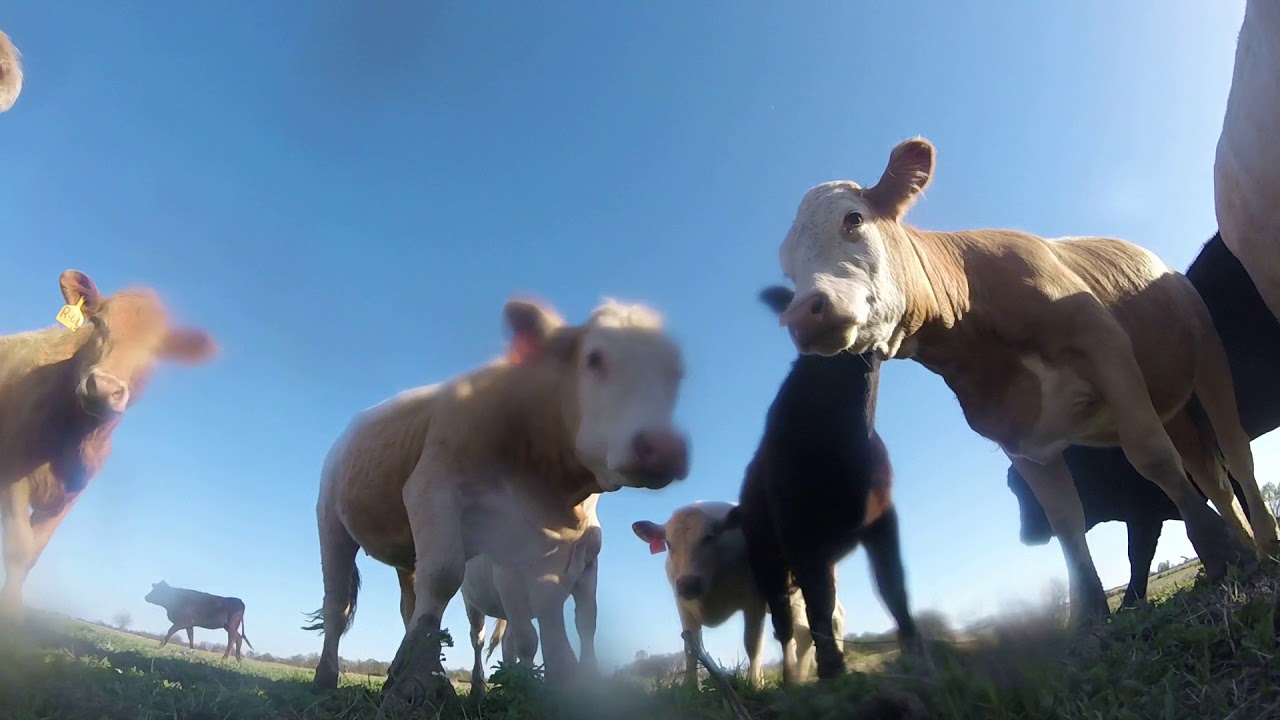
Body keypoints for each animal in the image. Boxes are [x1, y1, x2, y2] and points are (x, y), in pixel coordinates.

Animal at [0, 271, 217, 621]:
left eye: (158, 349)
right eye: (98, 323)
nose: (103, 387)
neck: (73, 440)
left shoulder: (71, 493)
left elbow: (33, 551)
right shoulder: (12, 474)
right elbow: (19, 547)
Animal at [306, 297, 689, 714]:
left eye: (678, 374)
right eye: (594, 358)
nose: (665, 449)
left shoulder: (550, 552)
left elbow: (569, 618)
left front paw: (569, 685)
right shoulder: (434, 489)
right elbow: (446, 578)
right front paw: (415, 687)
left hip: (409, 555)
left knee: (412, 605)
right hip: (332, 521)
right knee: (338, 605)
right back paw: (327, 678)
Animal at [631, 500, 848, 687]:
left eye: (708, 537)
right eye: (668, 544)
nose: (688, 584)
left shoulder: (754, 601)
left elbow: (752, 643)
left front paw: (756, 684)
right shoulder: (683, 605)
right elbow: (690, 648)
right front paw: (690, 687)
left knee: (829, 619)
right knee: (804, 631)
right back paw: (800, 676)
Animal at [716, 287, 920, 683]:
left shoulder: (883, 519)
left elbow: (894, 588)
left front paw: (920, 656)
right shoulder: (799, 535)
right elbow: (819, 605)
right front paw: (832, 670)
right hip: (766, 559)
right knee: (783, 621)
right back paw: (791, 678)